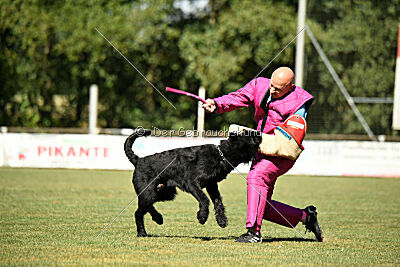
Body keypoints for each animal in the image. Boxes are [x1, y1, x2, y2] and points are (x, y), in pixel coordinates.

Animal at [125, 129, 262, 238]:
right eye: (249, 135)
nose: (259, 133)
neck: (221, 155)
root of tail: (138, 160)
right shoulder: (192, 182)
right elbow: (204, 199)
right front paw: (202, 217)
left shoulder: (212, 185)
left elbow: (218, 201)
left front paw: (221, 220)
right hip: (149, 193)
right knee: (138, 213)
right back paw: (142, 233)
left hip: (164, 193)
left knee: (147, 207)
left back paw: (158, 218)